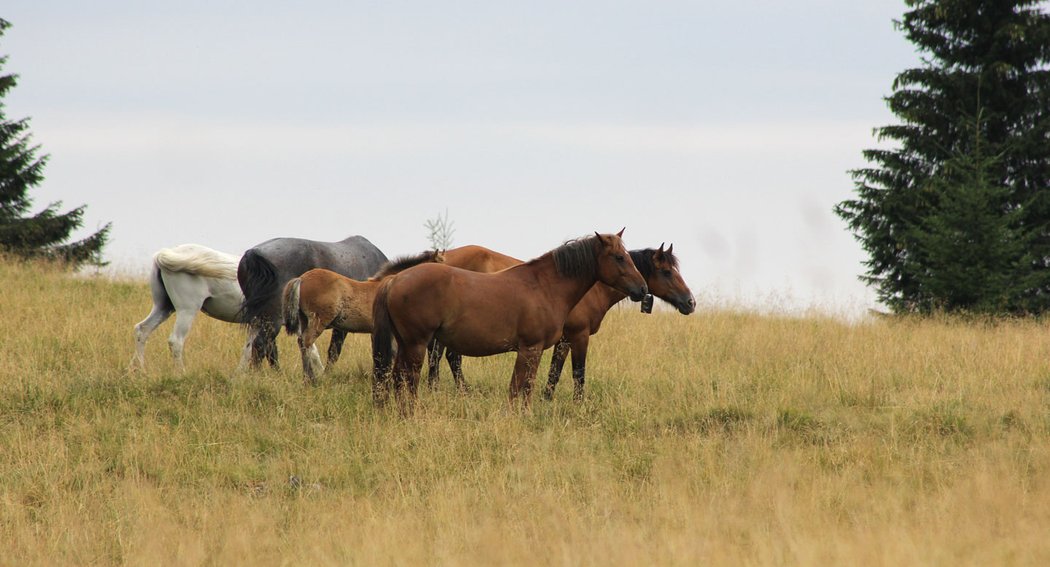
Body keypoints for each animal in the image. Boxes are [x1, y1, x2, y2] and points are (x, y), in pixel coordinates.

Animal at [131, 243, 251, 371]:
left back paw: (138, 369)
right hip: (187, 311)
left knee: (142, 330)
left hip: (163, 307)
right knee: (176, 341)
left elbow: (248, 349)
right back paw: (181, 372)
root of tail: (163, 255)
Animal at [237, 234, 386, 367]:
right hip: (273, 318)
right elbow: (335, 352)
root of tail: (253, 253)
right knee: (261, 345)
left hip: (261, 319)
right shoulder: (345, 327)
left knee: (268, 348)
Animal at [279, 250, 443, 386]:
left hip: (304, 319)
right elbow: (388, 353)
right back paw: (314, 377)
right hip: (319, 320)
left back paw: (308, 377)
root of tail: (302, 278)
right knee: (306, 342)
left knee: (302, 343)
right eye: (440, 263)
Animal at [369, 229, 646, 407]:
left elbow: (525, 387)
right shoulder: (530, 348)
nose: (642, 289)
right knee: (410, 381)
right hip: (416, 345)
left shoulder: (537, 350)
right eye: (619, 257)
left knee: (397, 380)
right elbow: (520, 388)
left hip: (406, 345)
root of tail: (395, 279)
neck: (544, 286)